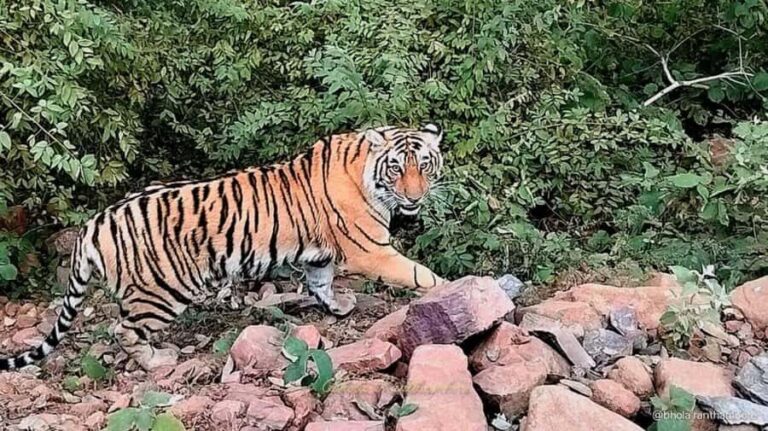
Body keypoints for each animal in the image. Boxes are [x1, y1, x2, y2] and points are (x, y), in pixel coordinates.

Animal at [0, 124, 446, 371]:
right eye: (396, 167)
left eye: (424, 165)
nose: (415, 197)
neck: (365, 172)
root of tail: (93, 224)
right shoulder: (371, 249)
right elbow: (420, 274)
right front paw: (449, 288)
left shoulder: (320, 257)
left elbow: (320, 283)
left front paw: (338, 308)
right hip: (161, 292)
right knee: (123, 329)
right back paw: (158, 361)